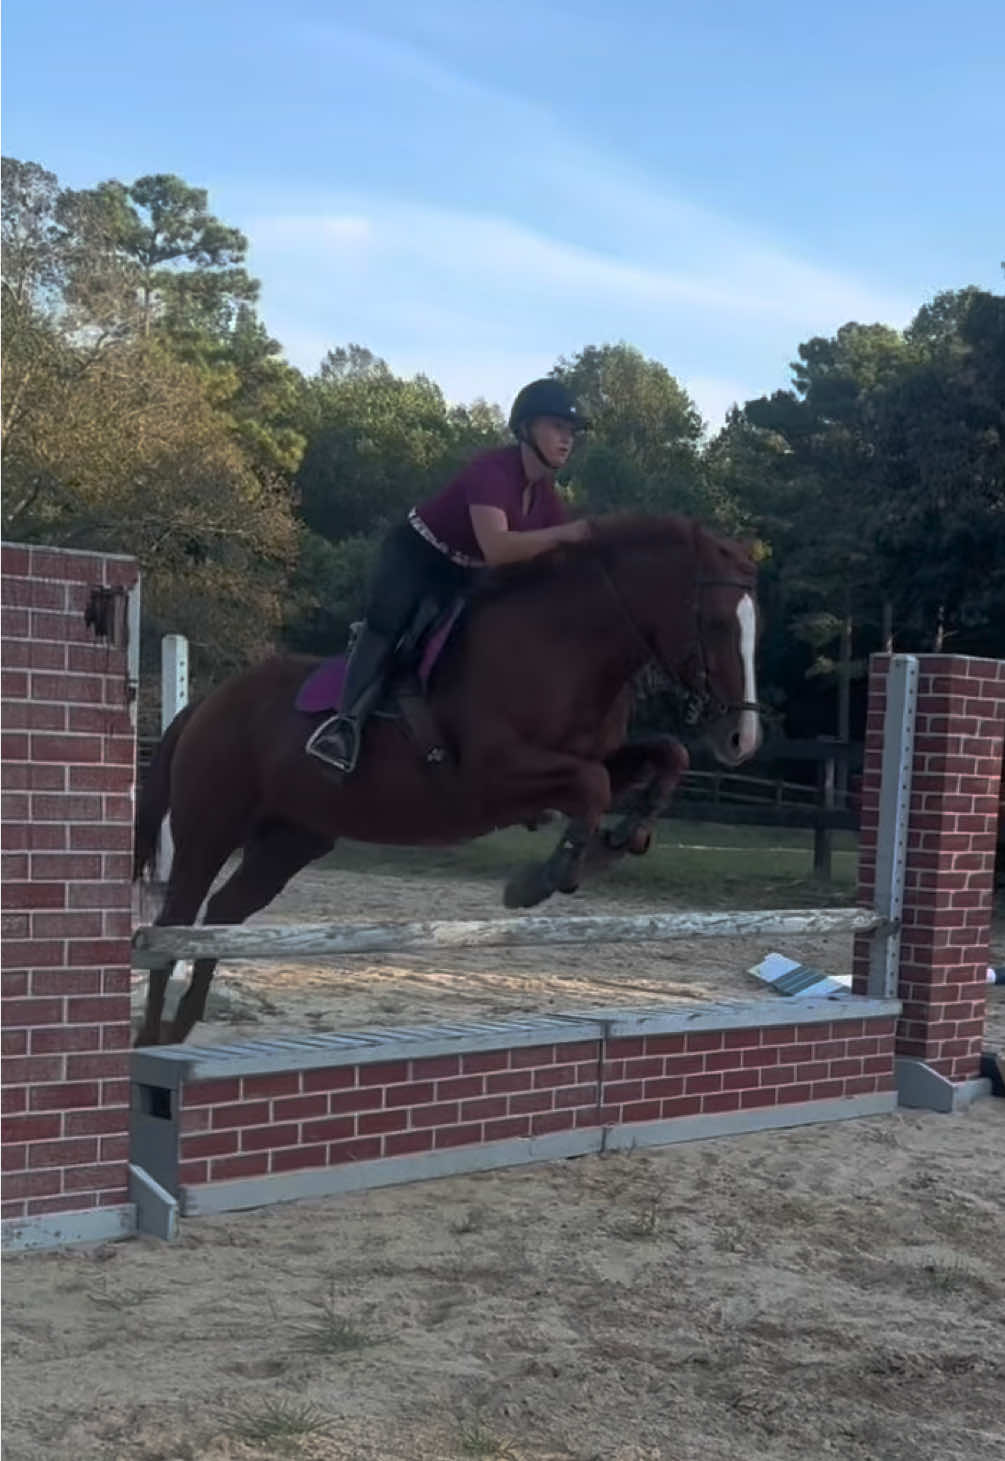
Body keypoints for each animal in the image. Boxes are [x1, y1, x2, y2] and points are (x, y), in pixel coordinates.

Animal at [133, 513, 762, 1045]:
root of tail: (210, 703)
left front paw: (623, 839)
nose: (742, 739)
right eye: (715, 623)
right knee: (175, 922)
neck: (565, 648)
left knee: (223, 914)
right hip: (211, 828)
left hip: (289, 839)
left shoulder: (597, 756)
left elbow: (666, 755)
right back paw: (149, 1039)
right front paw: (543, 878)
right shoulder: (489, 778)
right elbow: (591, 786)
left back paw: (180, 1026)